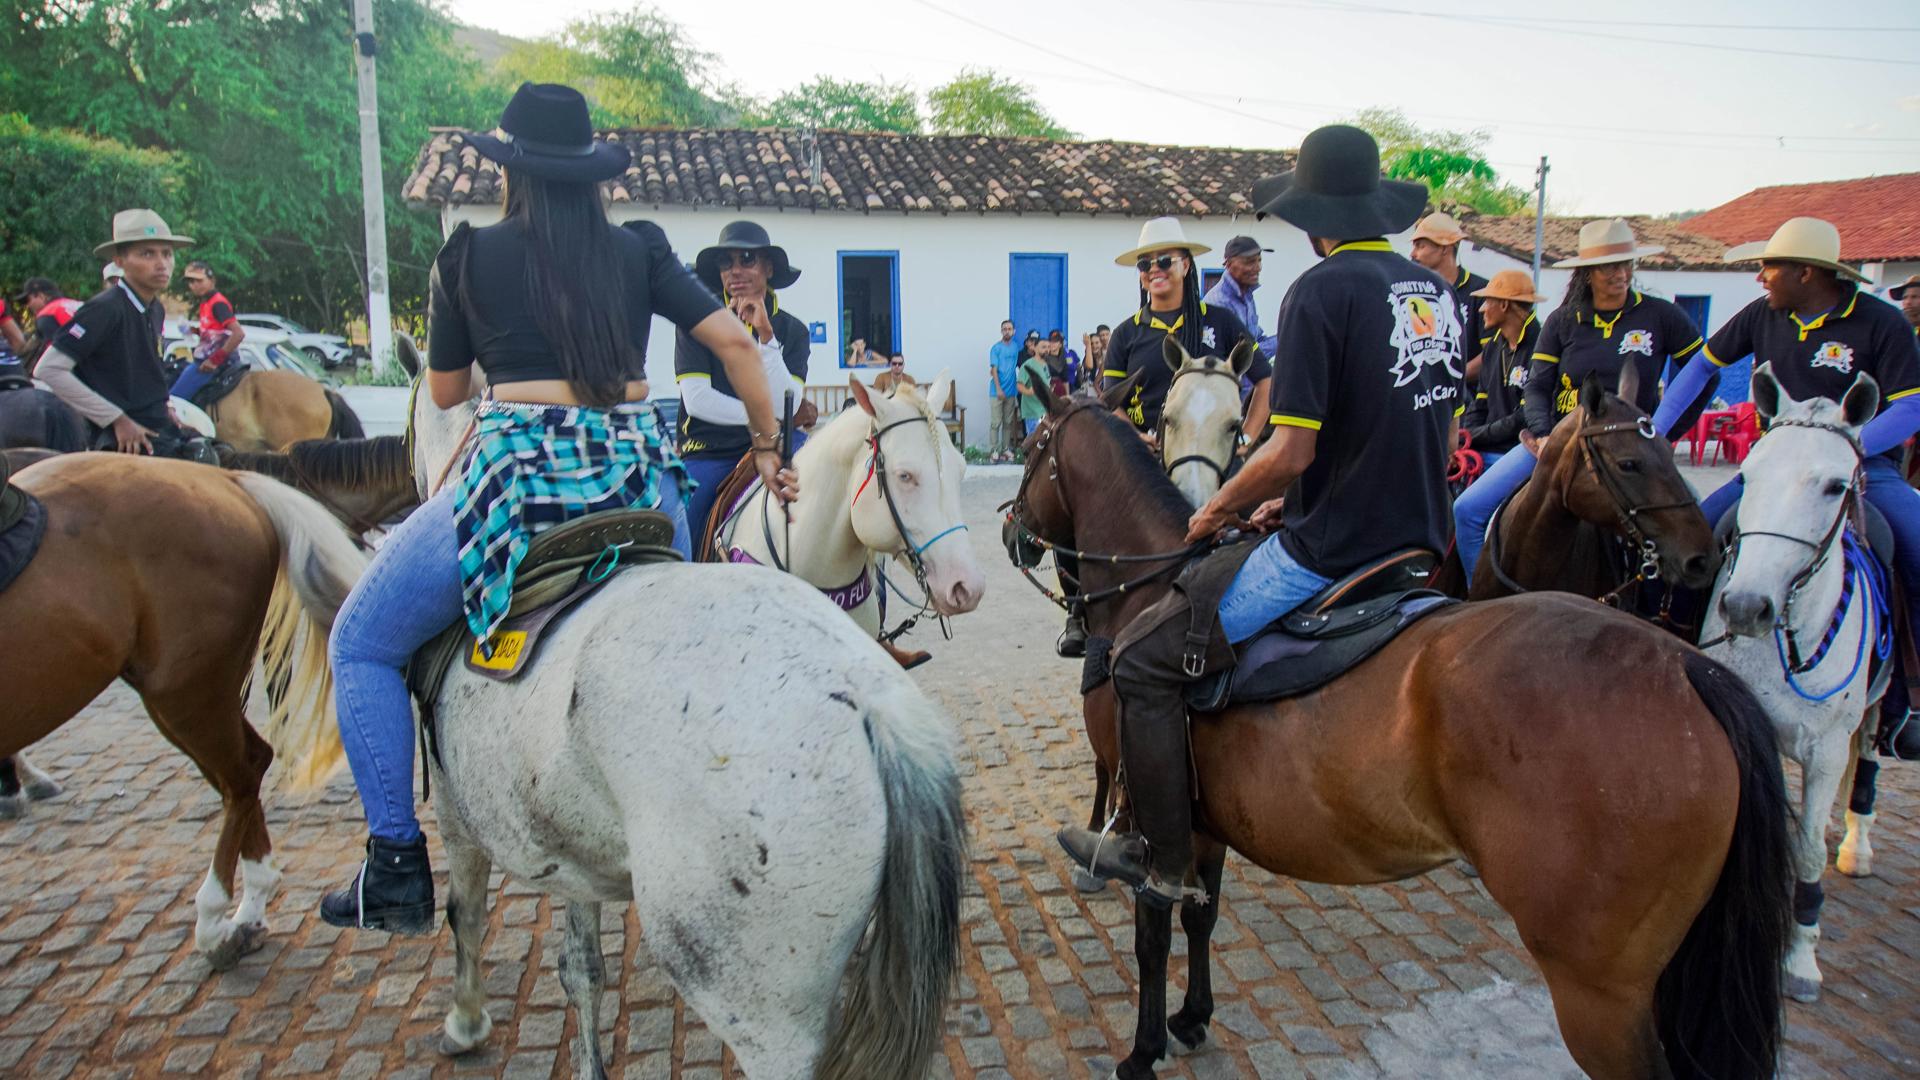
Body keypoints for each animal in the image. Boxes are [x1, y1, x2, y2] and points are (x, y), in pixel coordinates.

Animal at [0, 452, 366, 968]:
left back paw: (215, 921)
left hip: (186, 688)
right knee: (244, 769)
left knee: (241, 773)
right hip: (185, 690)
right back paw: (248, 910)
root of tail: (225, 479)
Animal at [407, 383, 966, 1078]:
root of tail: (870, 702)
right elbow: (579, 966)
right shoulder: (558, 836)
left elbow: (465, 913)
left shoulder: (458, 810)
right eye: (907, 476)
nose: (964, 586)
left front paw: (464, 1020)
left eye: (959, 474)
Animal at [1701, 365, 1891, 1004]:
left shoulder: (1827, 745)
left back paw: (1856, 843)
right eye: (1748, 475)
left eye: (1835, 485)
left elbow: (1805, 852)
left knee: (1867, 762)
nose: (1744, 606)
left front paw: (1801, 959)